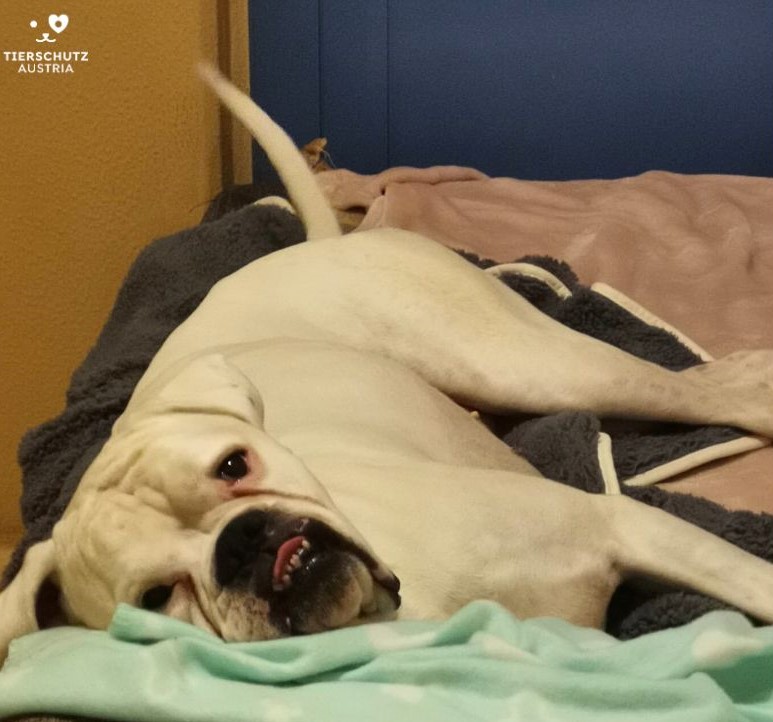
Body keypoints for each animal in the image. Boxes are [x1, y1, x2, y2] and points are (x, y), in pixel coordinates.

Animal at [2, 64, 773, 664]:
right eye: (155, 596)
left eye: (233, 465)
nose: (240, 543)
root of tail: (319, 243)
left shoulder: (627, 525)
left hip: (528, 364)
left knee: (704, 390)